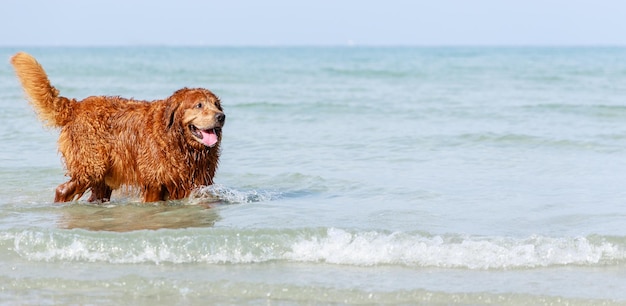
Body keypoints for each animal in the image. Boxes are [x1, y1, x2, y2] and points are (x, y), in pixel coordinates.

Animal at [10, 52, 224, 203]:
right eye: (199, 105)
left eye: (216, 104)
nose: (221, 116)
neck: (180, 142)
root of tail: (76, 105)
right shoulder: (155, 183)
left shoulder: (197, 182)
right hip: (90, 166)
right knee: (62, 189)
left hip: (101, 177)